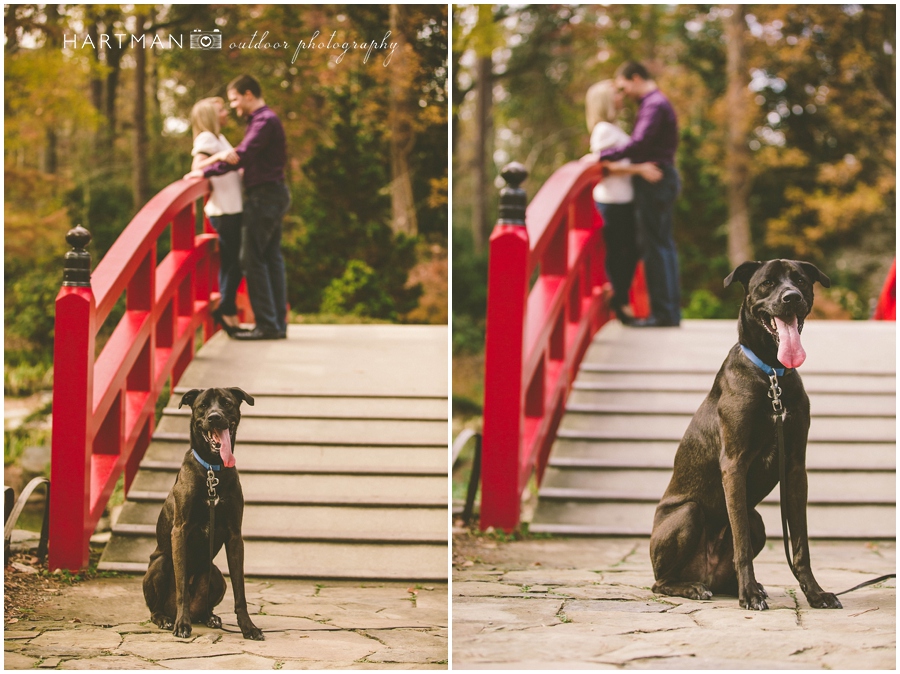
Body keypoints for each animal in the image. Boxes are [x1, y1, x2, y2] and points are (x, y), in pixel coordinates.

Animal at [142, 386, 264, 636]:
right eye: (203, 406)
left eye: (226, 403)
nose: (214, 417)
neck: (212, 470)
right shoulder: (180, 530)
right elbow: (181, 585)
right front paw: (182, 625)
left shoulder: (235, 536)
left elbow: (240, 589)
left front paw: (248, 627)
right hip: (160, 564)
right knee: (156, 608)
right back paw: (166, 619)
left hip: (216, 575)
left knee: (206, 606)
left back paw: (210, 617)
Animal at [652, 258, 840, 608]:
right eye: (767, 283)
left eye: (799, 280)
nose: (791, 298)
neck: (771, 376)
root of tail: (706, 574)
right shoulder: (734, 465)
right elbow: (741, 544)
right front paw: (749, 594)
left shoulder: (796, 469)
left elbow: (801, 546)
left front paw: (815, 593)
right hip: (687, 513)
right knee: (660, 582)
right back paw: (694, 588)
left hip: (759, 521)